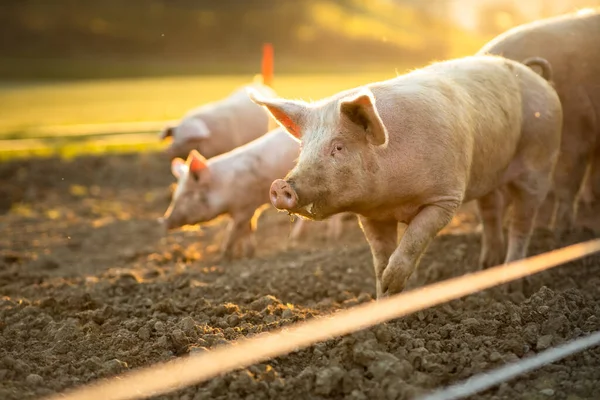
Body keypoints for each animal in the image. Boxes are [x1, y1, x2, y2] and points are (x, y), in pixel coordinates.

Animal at [162, 126, 346, 260]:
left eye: (187, 194)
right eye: (176, 195)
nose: (164, 221)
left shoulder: (245, 206)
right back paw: (298, 238)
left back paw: (331, 238)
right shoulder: (245, 208)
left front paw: (223, 256)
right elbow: (248, 229)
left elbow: (235, 229)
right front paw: (248, 253)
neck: (224, 186)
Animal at [251, 57, 564, 300]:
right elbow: (380, 258)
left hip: (540, 161)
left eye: (338, 147)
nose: (280, 186)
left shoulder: (446, 197)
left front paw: (392, 283)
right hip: (490, 170)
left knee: (522, 224)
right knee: (491, 211)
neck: (392, 198)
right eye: (303, 148)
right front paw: (383, 297)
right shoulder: (372, 215)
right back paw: (486, 266)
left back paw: (512, 286)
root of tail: (537, 76)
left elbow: (413, 240)